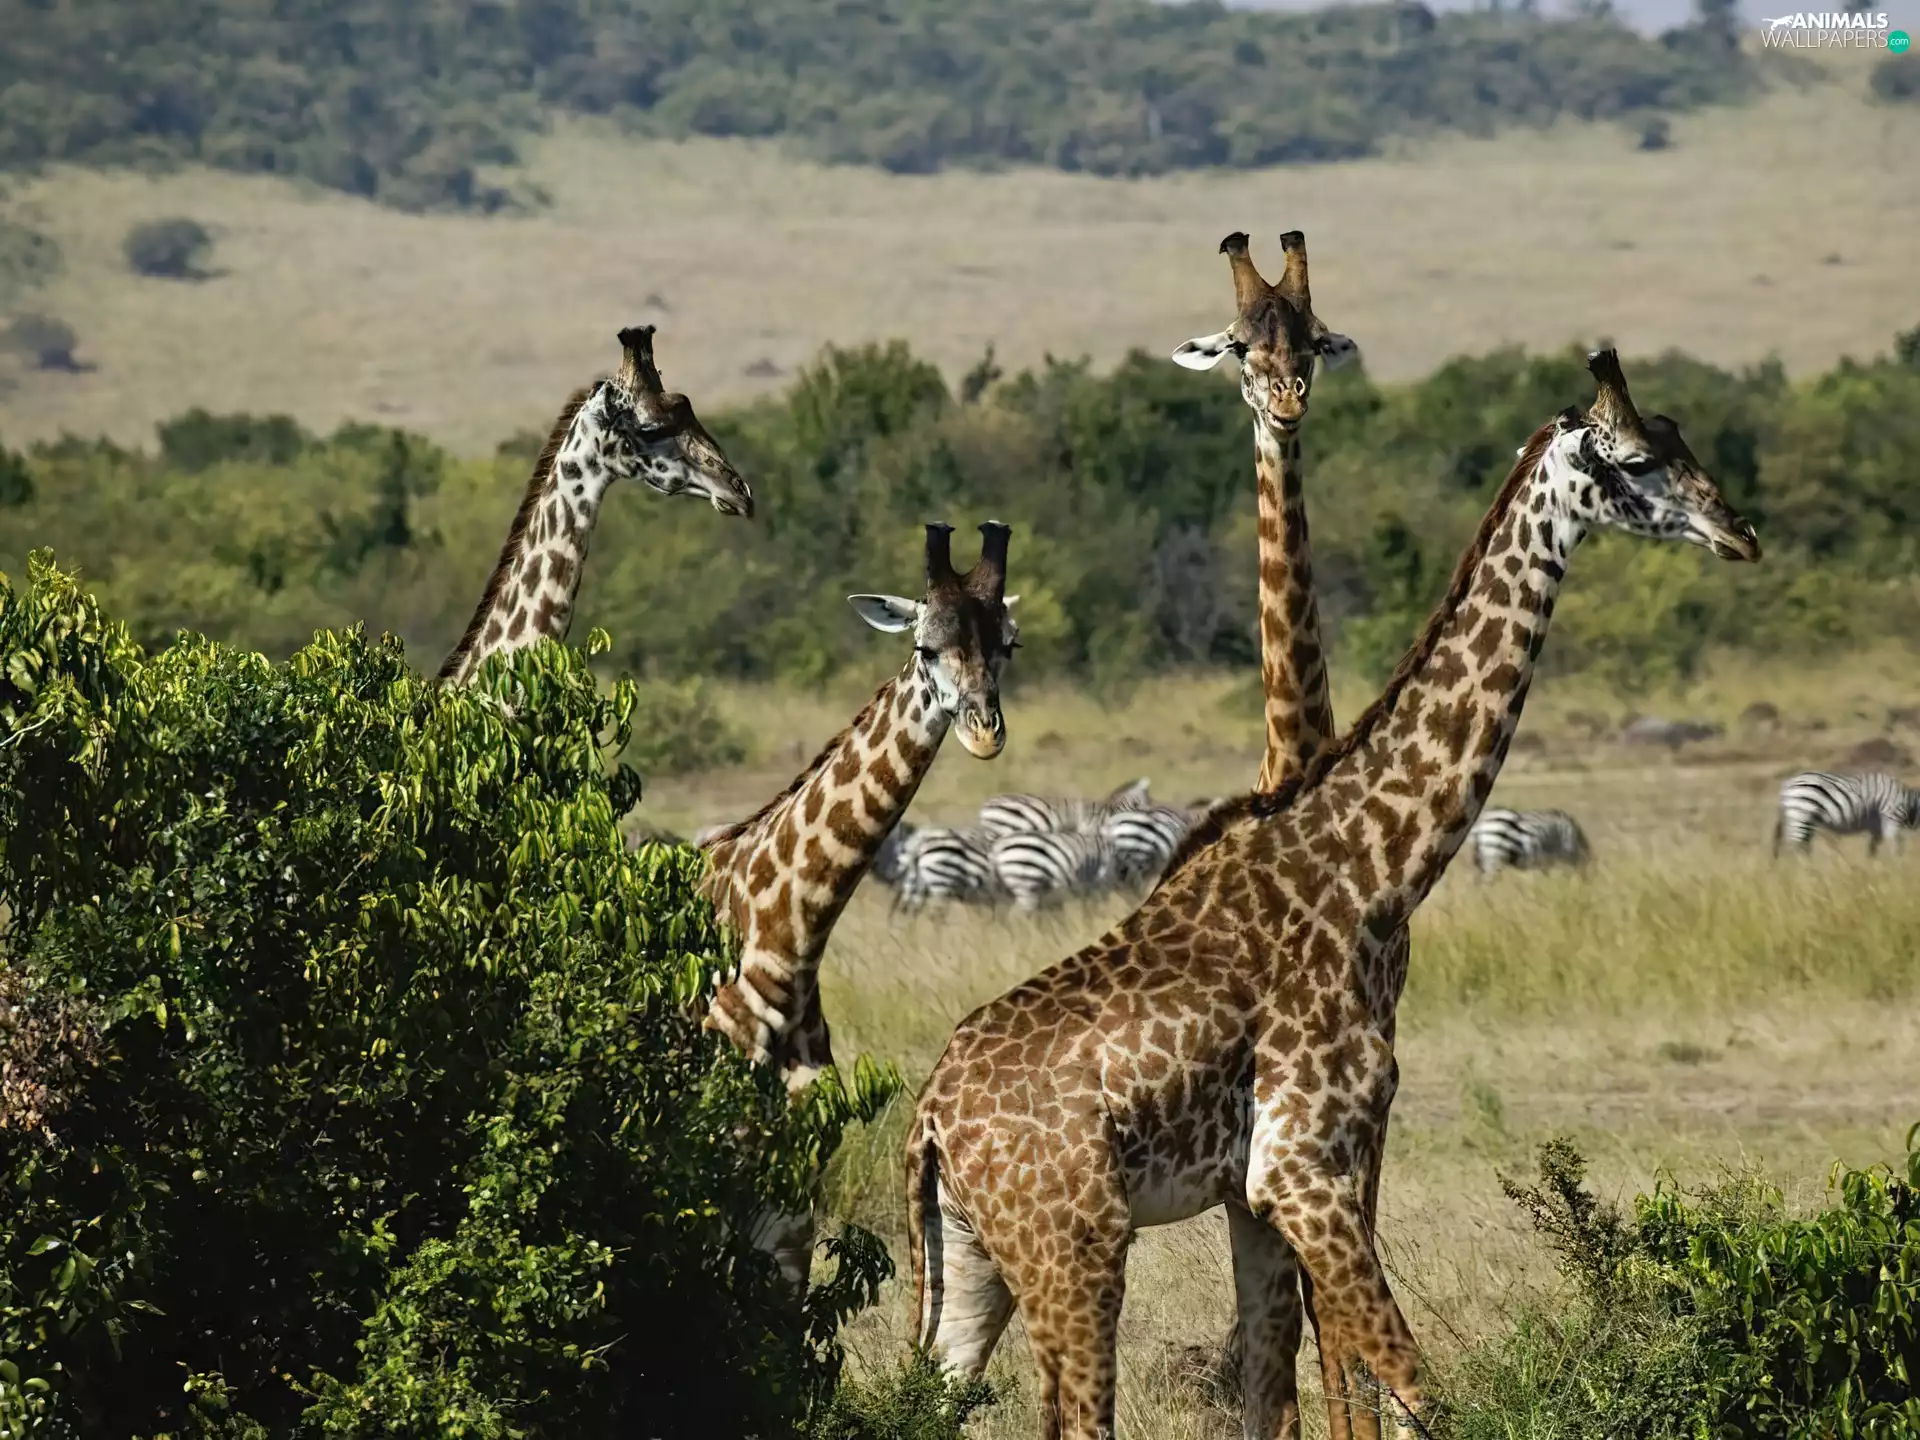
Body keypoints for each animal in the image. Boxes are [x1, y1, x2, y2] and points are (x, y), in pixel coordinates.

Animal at [907, 351, 1759, 1440]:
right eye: (1640, 459)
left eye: (1683, 434)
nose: (1740, 531)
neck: (1369, 870)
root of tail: (930, 1121)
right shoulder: (1302, 1166)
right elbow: (1414, 1386)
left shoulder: (1262, 1192)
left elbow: (1282, 1397)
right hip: (1077, 1247)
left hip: (973, 1263)